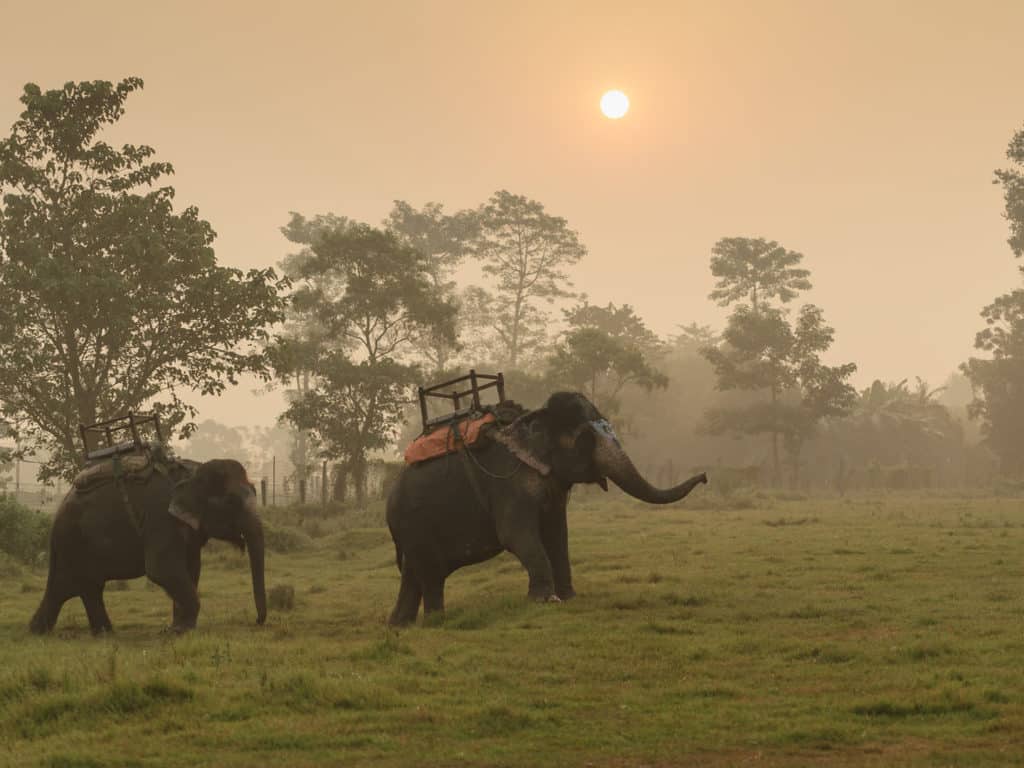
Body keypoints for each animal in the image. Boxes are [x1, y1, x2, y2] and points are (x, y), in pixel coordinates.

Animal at [29, 456, 266, 635]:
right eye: (231, 502)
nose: (256, 621)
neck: (192, 472)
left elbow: (191, 569)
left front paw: (178, 628)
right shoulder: (160, 518)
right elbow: (162, 570)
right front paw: (179, 631)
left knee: (75, 588)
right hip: (73, 541)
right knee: (75, 586)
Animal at [386, 391, 707, 625]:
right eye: (585, 439)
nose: (704, 476)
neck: (532, 419)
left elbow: (557, 534)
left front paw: (569, 597)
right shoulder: (508, 484)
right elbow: (516, 536)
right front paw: (545, 601)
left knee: (414, 574)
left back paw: (399, 625)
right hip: (414, 524)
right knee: (430, 573)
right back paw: (435, 620)